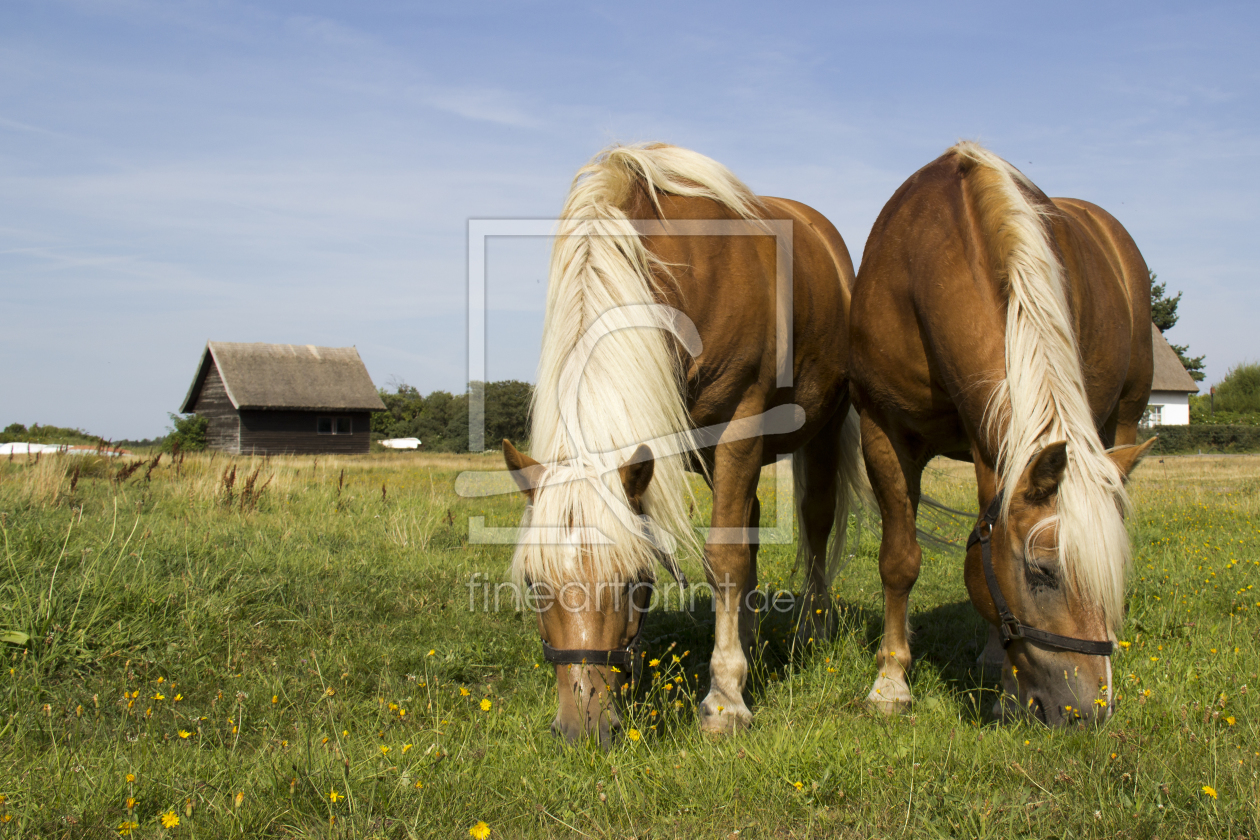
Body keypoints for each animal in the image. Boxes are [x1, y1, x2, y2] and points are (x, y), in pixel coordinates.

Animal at [851, 141, 1154, 725]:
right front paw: (890, 682)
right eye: (1042, 571)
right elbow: (899, 559)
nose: (1092, 711)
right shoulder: (884, 433)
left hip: (1126, 414)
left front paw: (1007, 687)